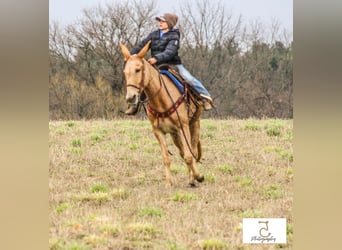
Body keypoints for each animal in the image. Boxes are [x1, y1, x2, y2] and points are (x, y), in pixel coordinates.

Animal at [120, 41, 204, 187]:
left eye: (138, 70)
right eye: (125, 72)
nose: (130, 98)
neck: (161, 100)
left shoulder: (183, 127)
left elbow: (189, 156)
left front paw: (198, 176)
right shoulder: (158, 131)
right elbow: (166, 157)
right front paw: (169, 183)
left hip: (194, 124)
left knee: (192, 150)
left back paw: (192, 178)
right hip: (175, 134)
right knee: (182, 152)